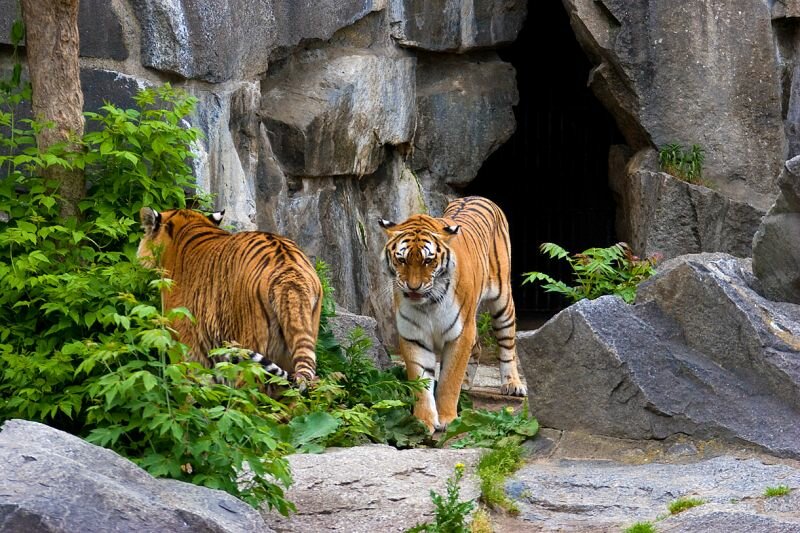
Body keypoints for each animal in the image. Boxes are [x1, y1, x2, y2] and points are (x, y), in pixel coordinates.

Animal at [380, 195, 528, 432]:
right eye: (401, 259)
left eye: (428, 260)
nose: (413, 288)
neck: (428, 304)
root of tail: (476, 196)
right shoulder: (414, 336)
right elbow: (421, 382)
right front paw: (424, 421)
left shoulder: (460, 333)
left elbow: (450, 380)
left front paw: (448, 418)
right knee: (477, 346)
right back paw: (467, 384)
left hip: (503, 301)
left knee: (507, 345)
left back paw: (512, 384)